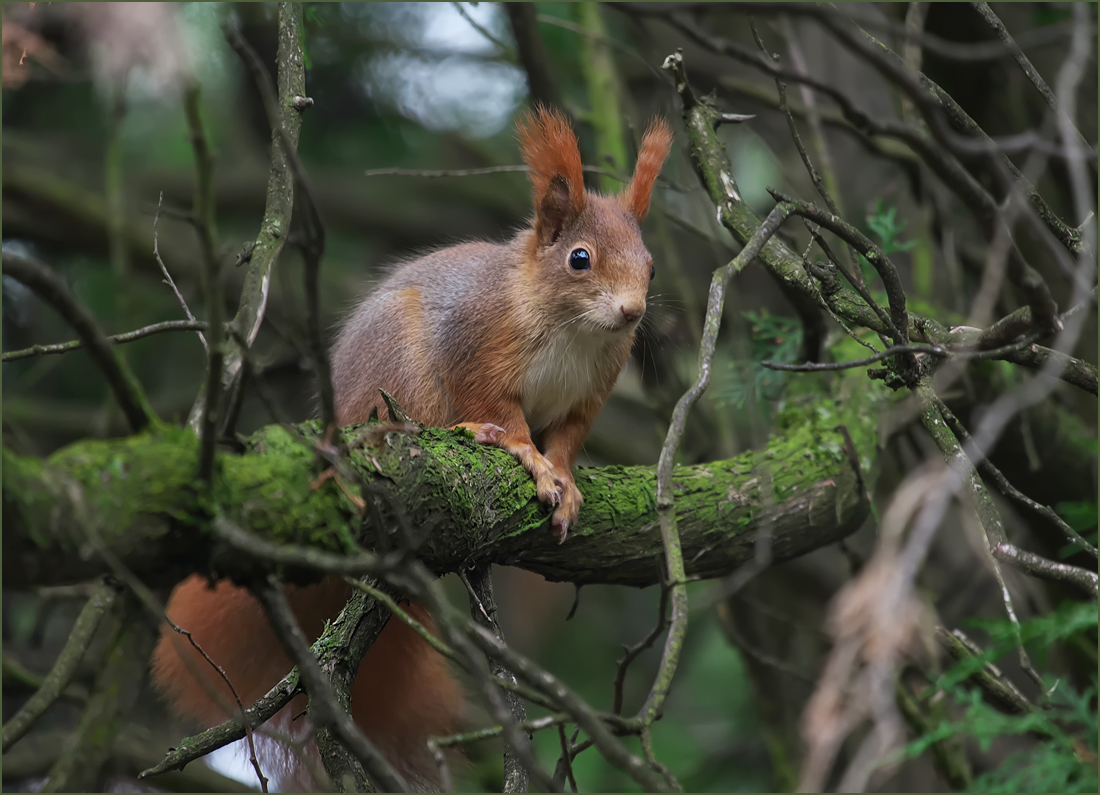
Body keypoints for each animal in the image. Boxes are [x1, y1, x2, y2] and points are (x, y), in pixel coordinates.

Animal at [151, 105, 673, 791]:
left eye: (652, 264)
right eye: (579, 259)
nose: (632, 312)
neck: (574, 331)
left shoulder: (588, 395)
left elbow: (566, 439)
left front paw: (565, 480)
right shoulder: (477, 348)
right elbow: (501, 411)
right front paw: (526, 457)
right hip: (401, 377)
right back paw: (464, 436)